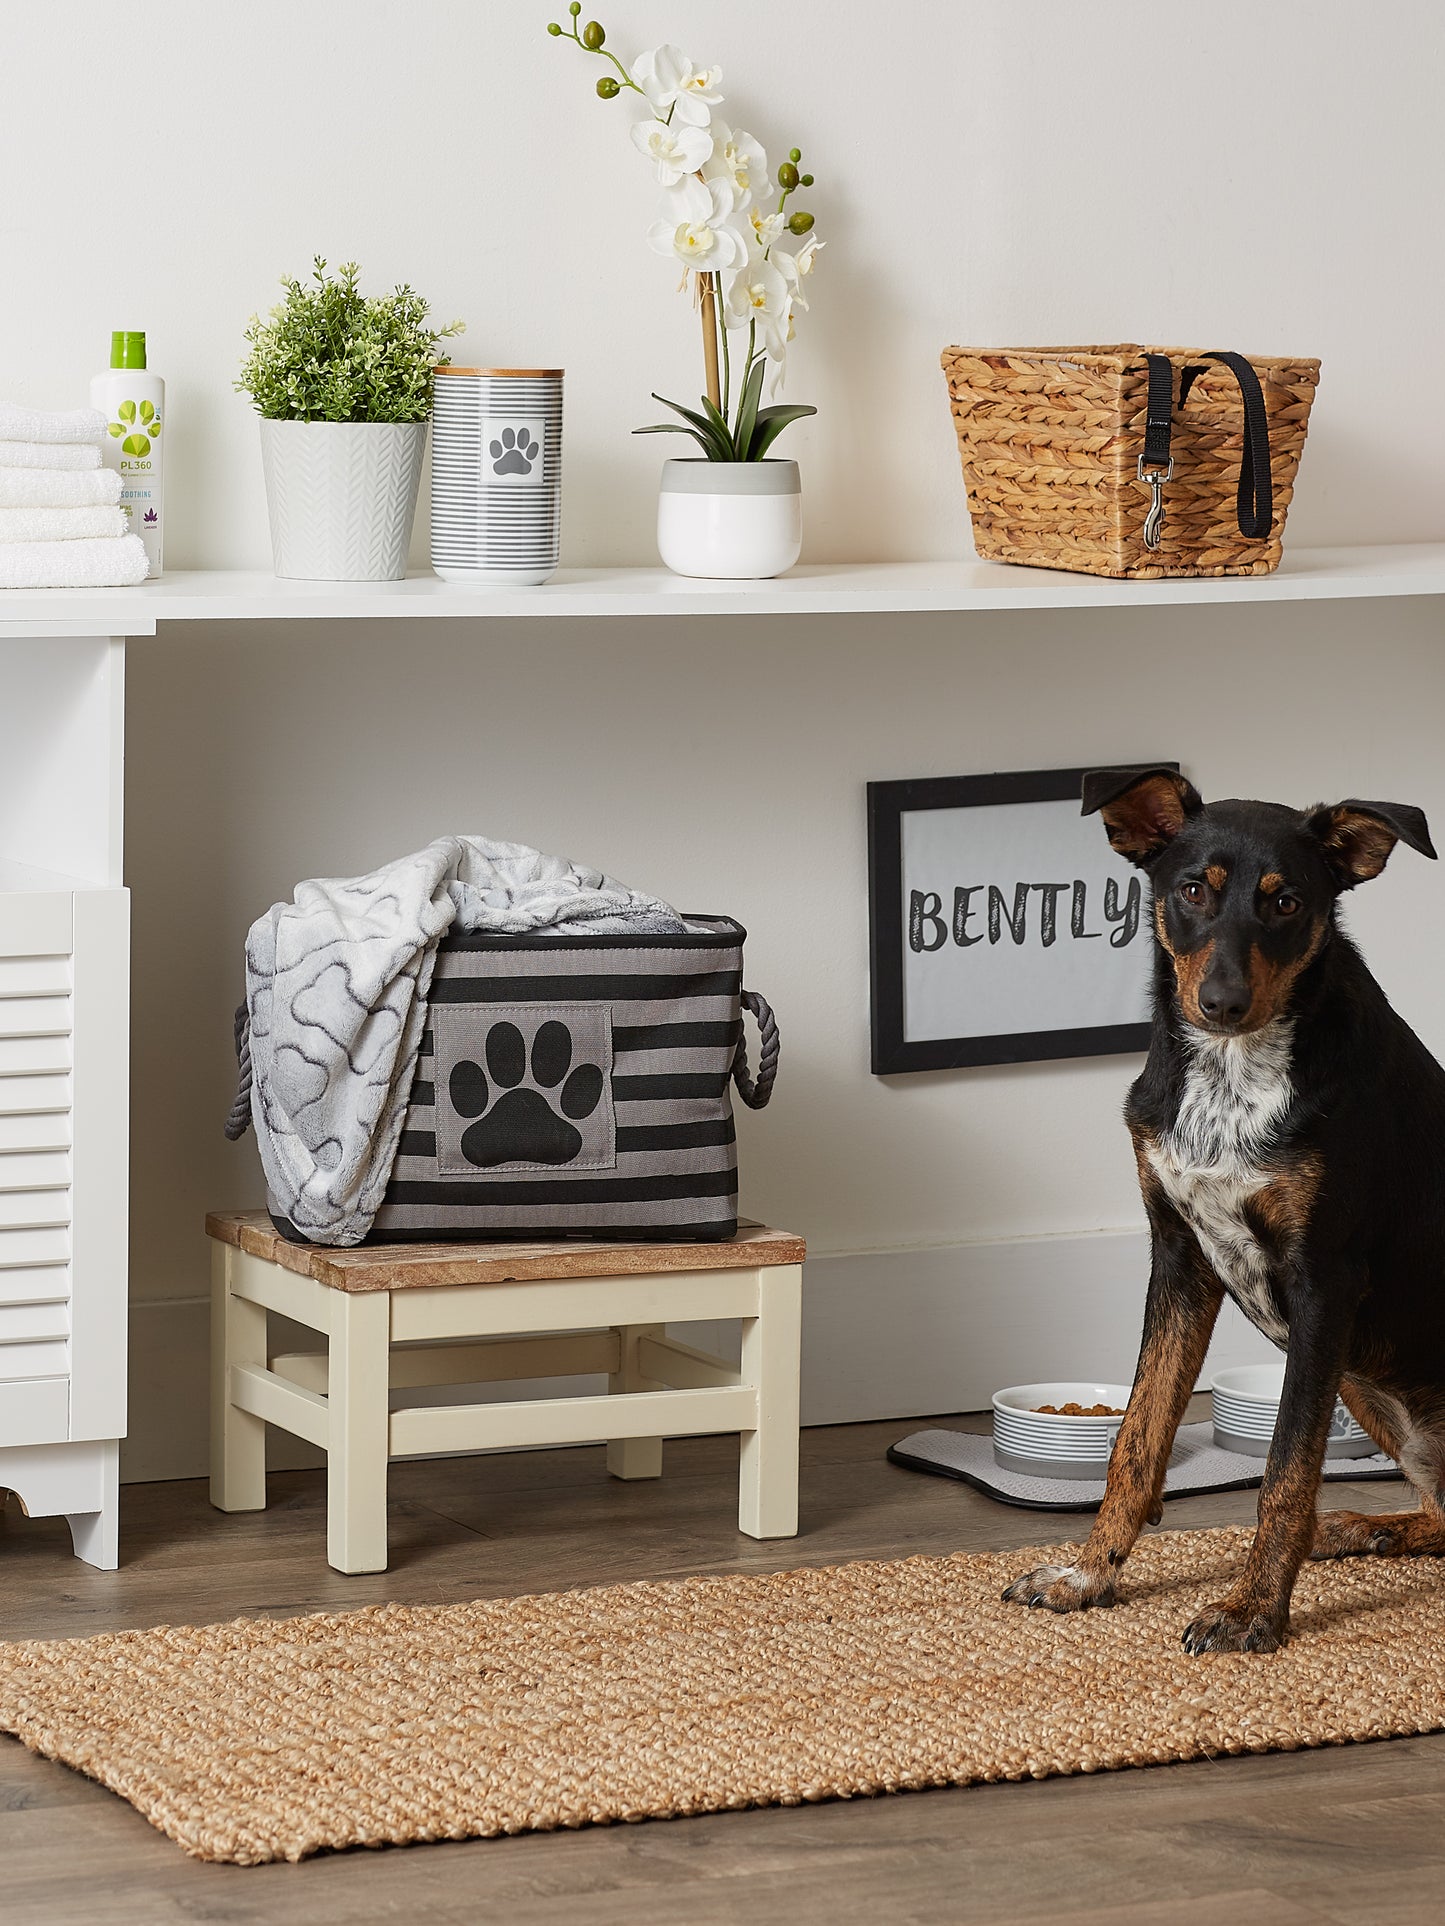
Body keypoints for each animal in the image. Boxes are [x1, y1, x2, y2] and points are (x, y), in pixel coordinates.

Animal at [1009, 766, 1445, 1656]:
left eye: (1285, 903)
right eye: (1190, 891)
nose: (1220, 1002)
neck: (1231, 1075)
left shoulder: (1323, 1286)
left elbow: (1285, 1472)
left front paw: (1252, 1610)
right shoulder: (1179, 1260)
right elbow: (1135, 1440)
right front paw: (1088, 1576)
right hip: (1364, 1379)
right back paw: (1367, 1528)